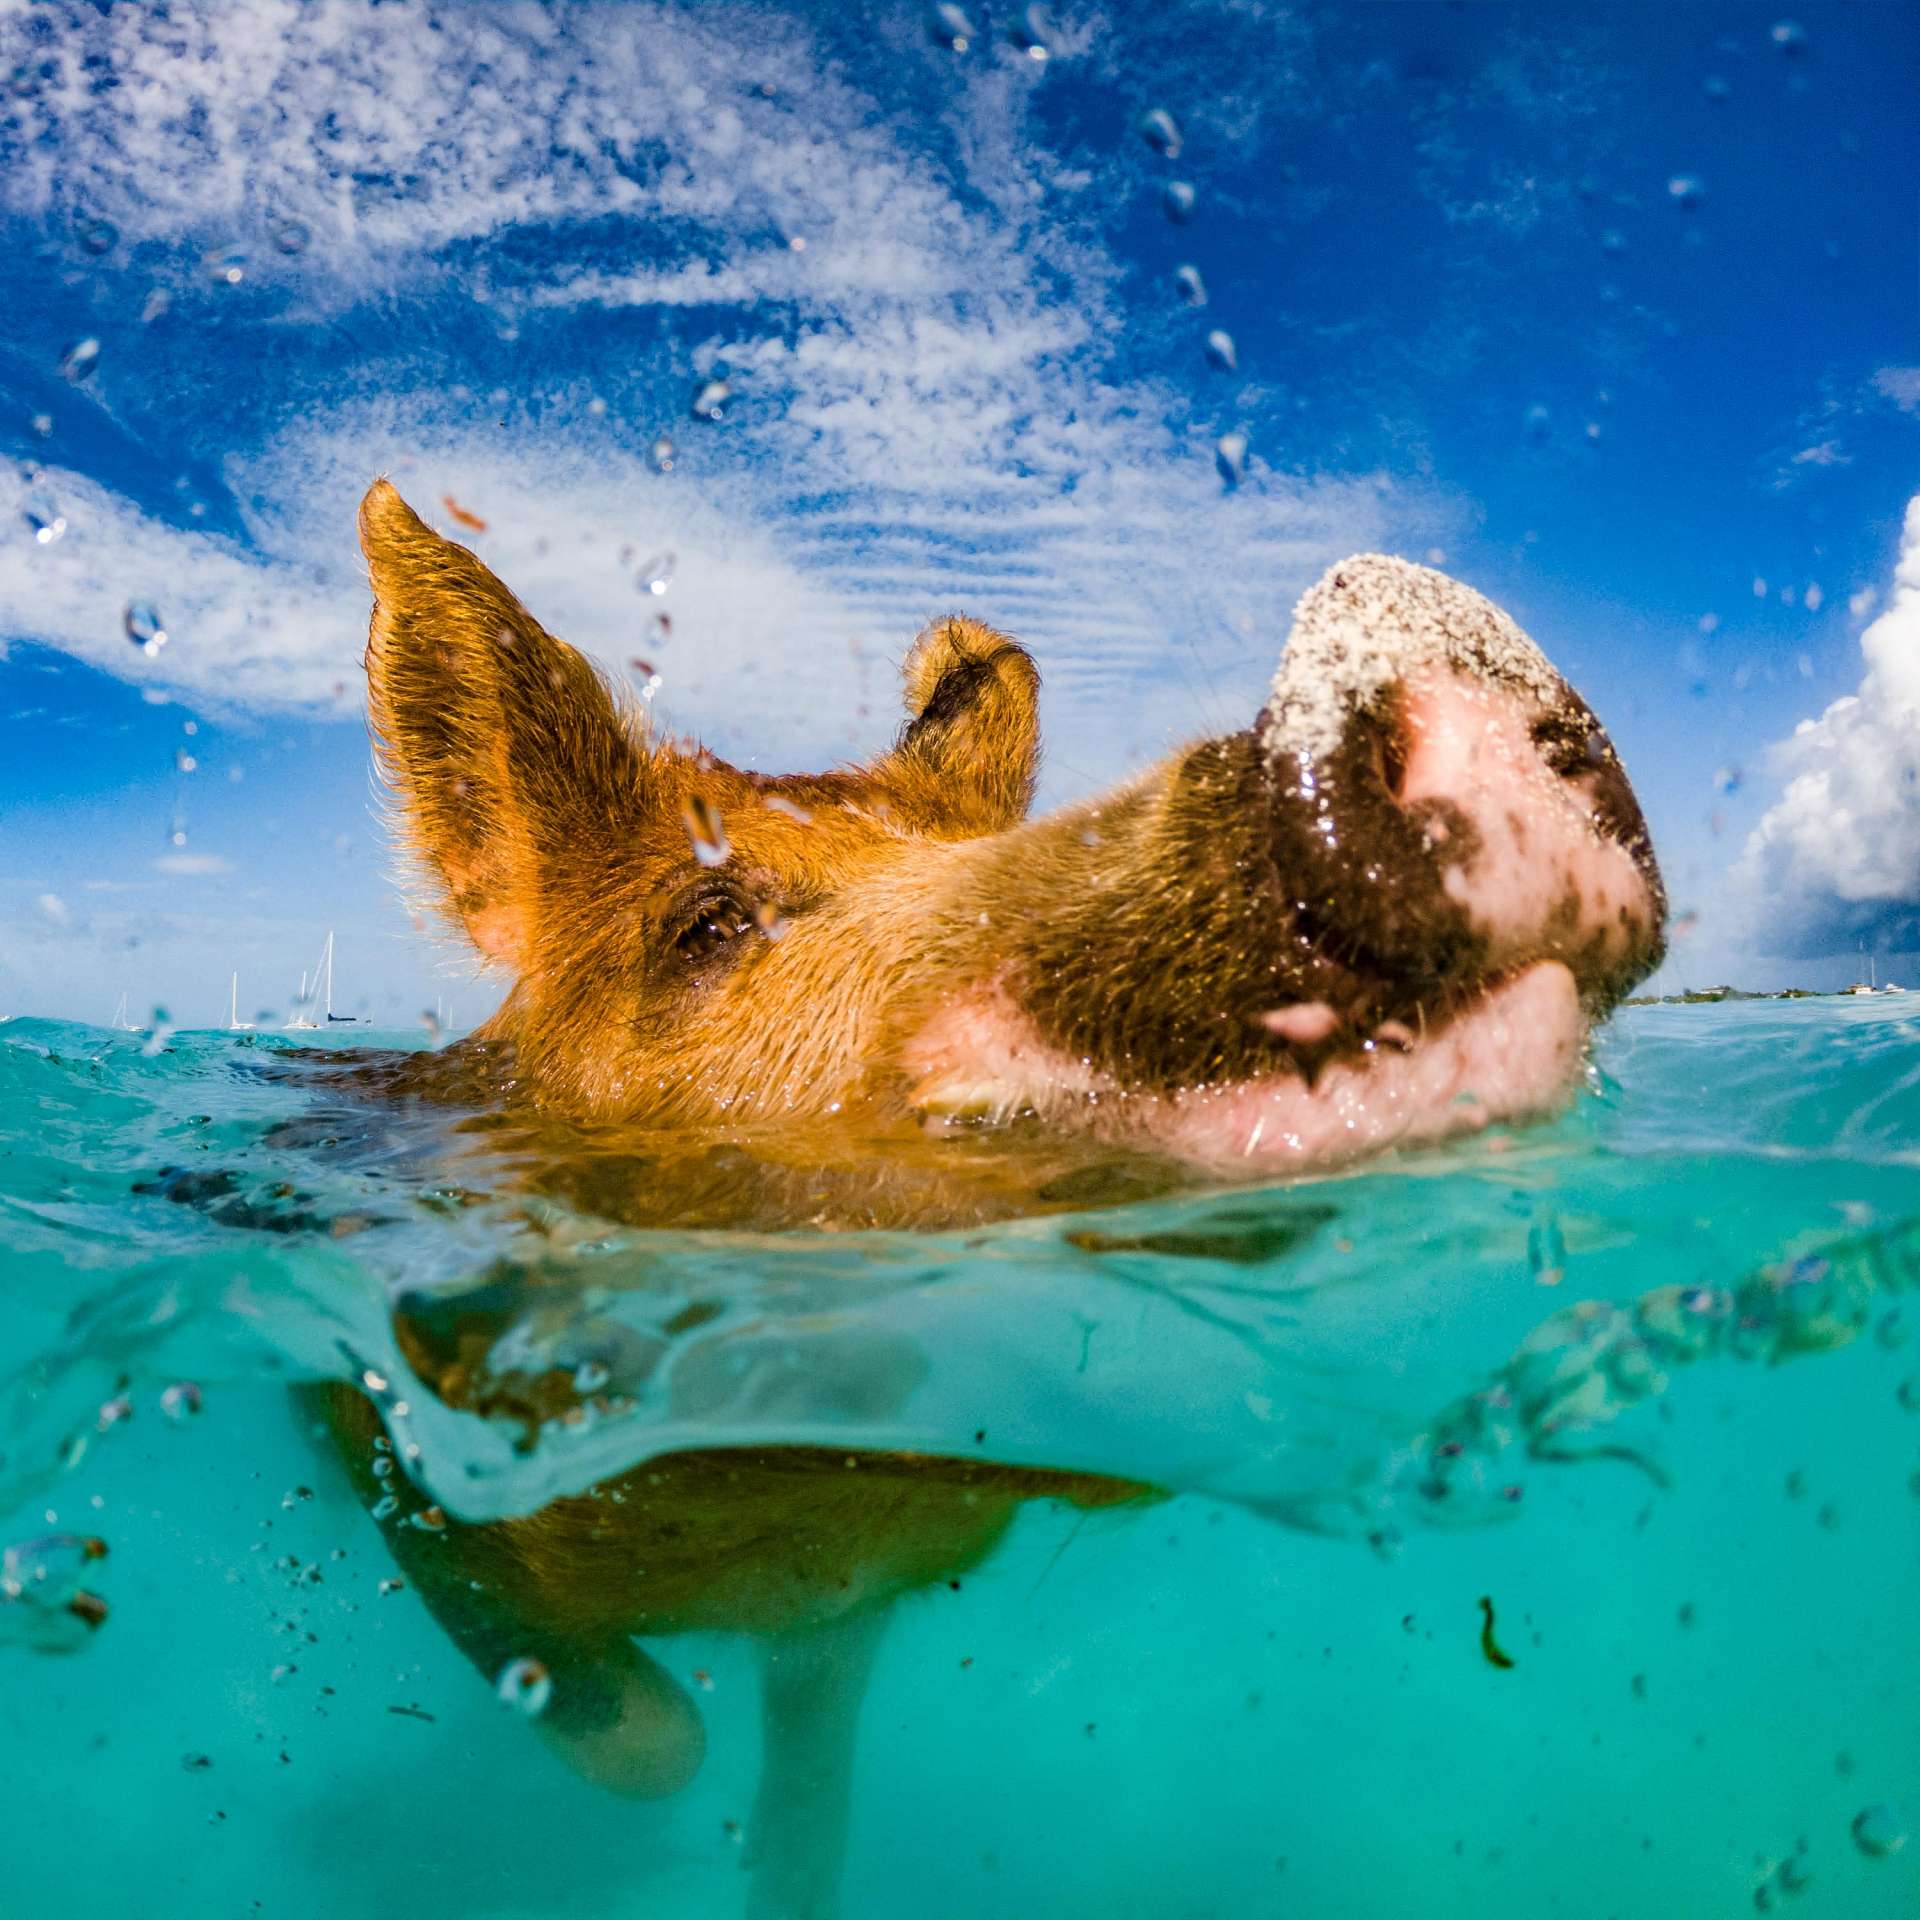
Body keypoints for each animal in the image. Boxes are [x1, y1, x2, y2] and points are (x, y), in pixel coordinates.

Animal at [337, 483, 1674, 1920]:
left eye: (984, 846)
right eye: (706, 922)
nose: (1406, 606)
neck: (805, 1508)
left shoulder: (855, 1597)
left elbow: (804, 1821)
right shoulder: (392, 1412)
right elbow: (654, 1744)